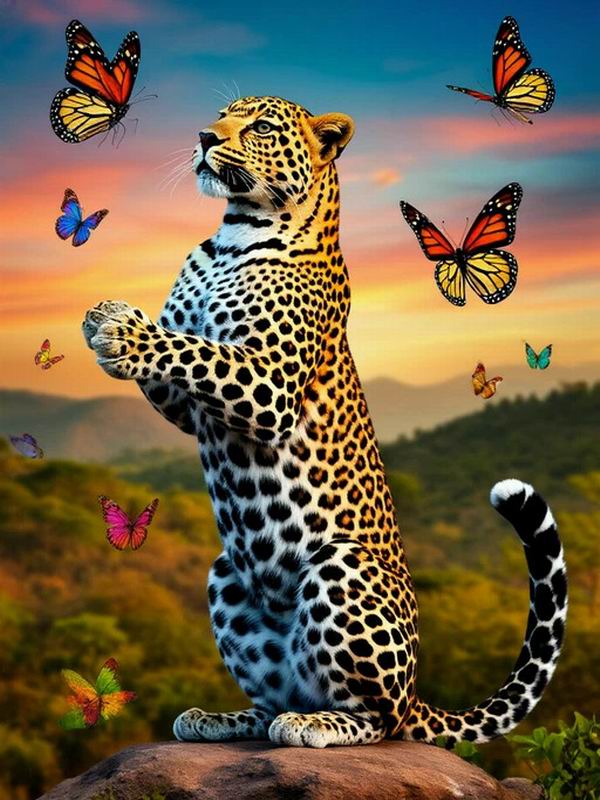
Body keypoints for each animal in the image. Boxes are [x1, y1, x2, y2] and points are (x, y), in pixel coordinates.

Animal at [82, 95, 567, 748]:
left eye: (260, 127)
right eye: (222, 114)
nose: (205, 136)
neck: (235, 232)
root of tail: (418, 693)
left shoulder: (269, 383)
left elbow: (196, 351)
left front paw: (122, 328)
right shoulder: (187, 407)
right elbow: (180, 354)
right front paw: (109, 317)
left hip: (341, 567)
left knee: (379, 720)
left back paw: (319, 724)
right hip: (227, 575)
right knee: (274, 698)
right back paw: (221, 719)